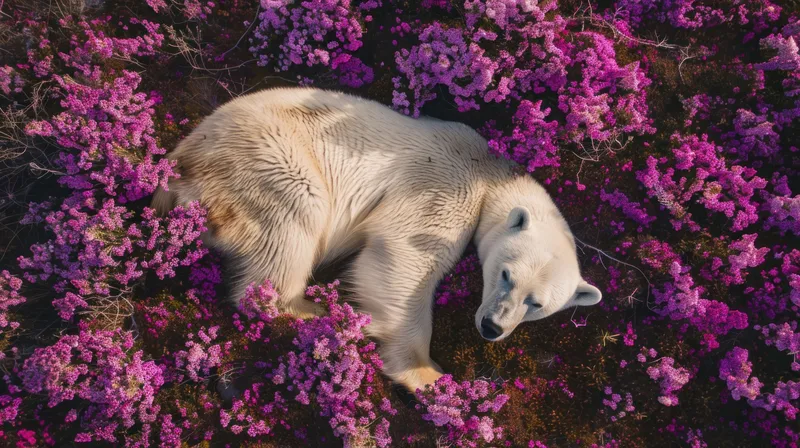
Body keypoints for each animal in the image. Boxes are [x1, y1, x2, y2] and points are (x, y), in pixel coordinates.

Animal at [152, 87, 602, 392]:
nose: (492, 327)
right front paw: (426, 374)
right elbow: (404, 257)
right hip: (268, 159)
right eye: (506, 275)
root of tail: (178, 167)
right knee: (295, 216)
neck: (491, 171)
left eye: (537, 303)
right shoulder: (445, 186)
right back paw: (314, 310)